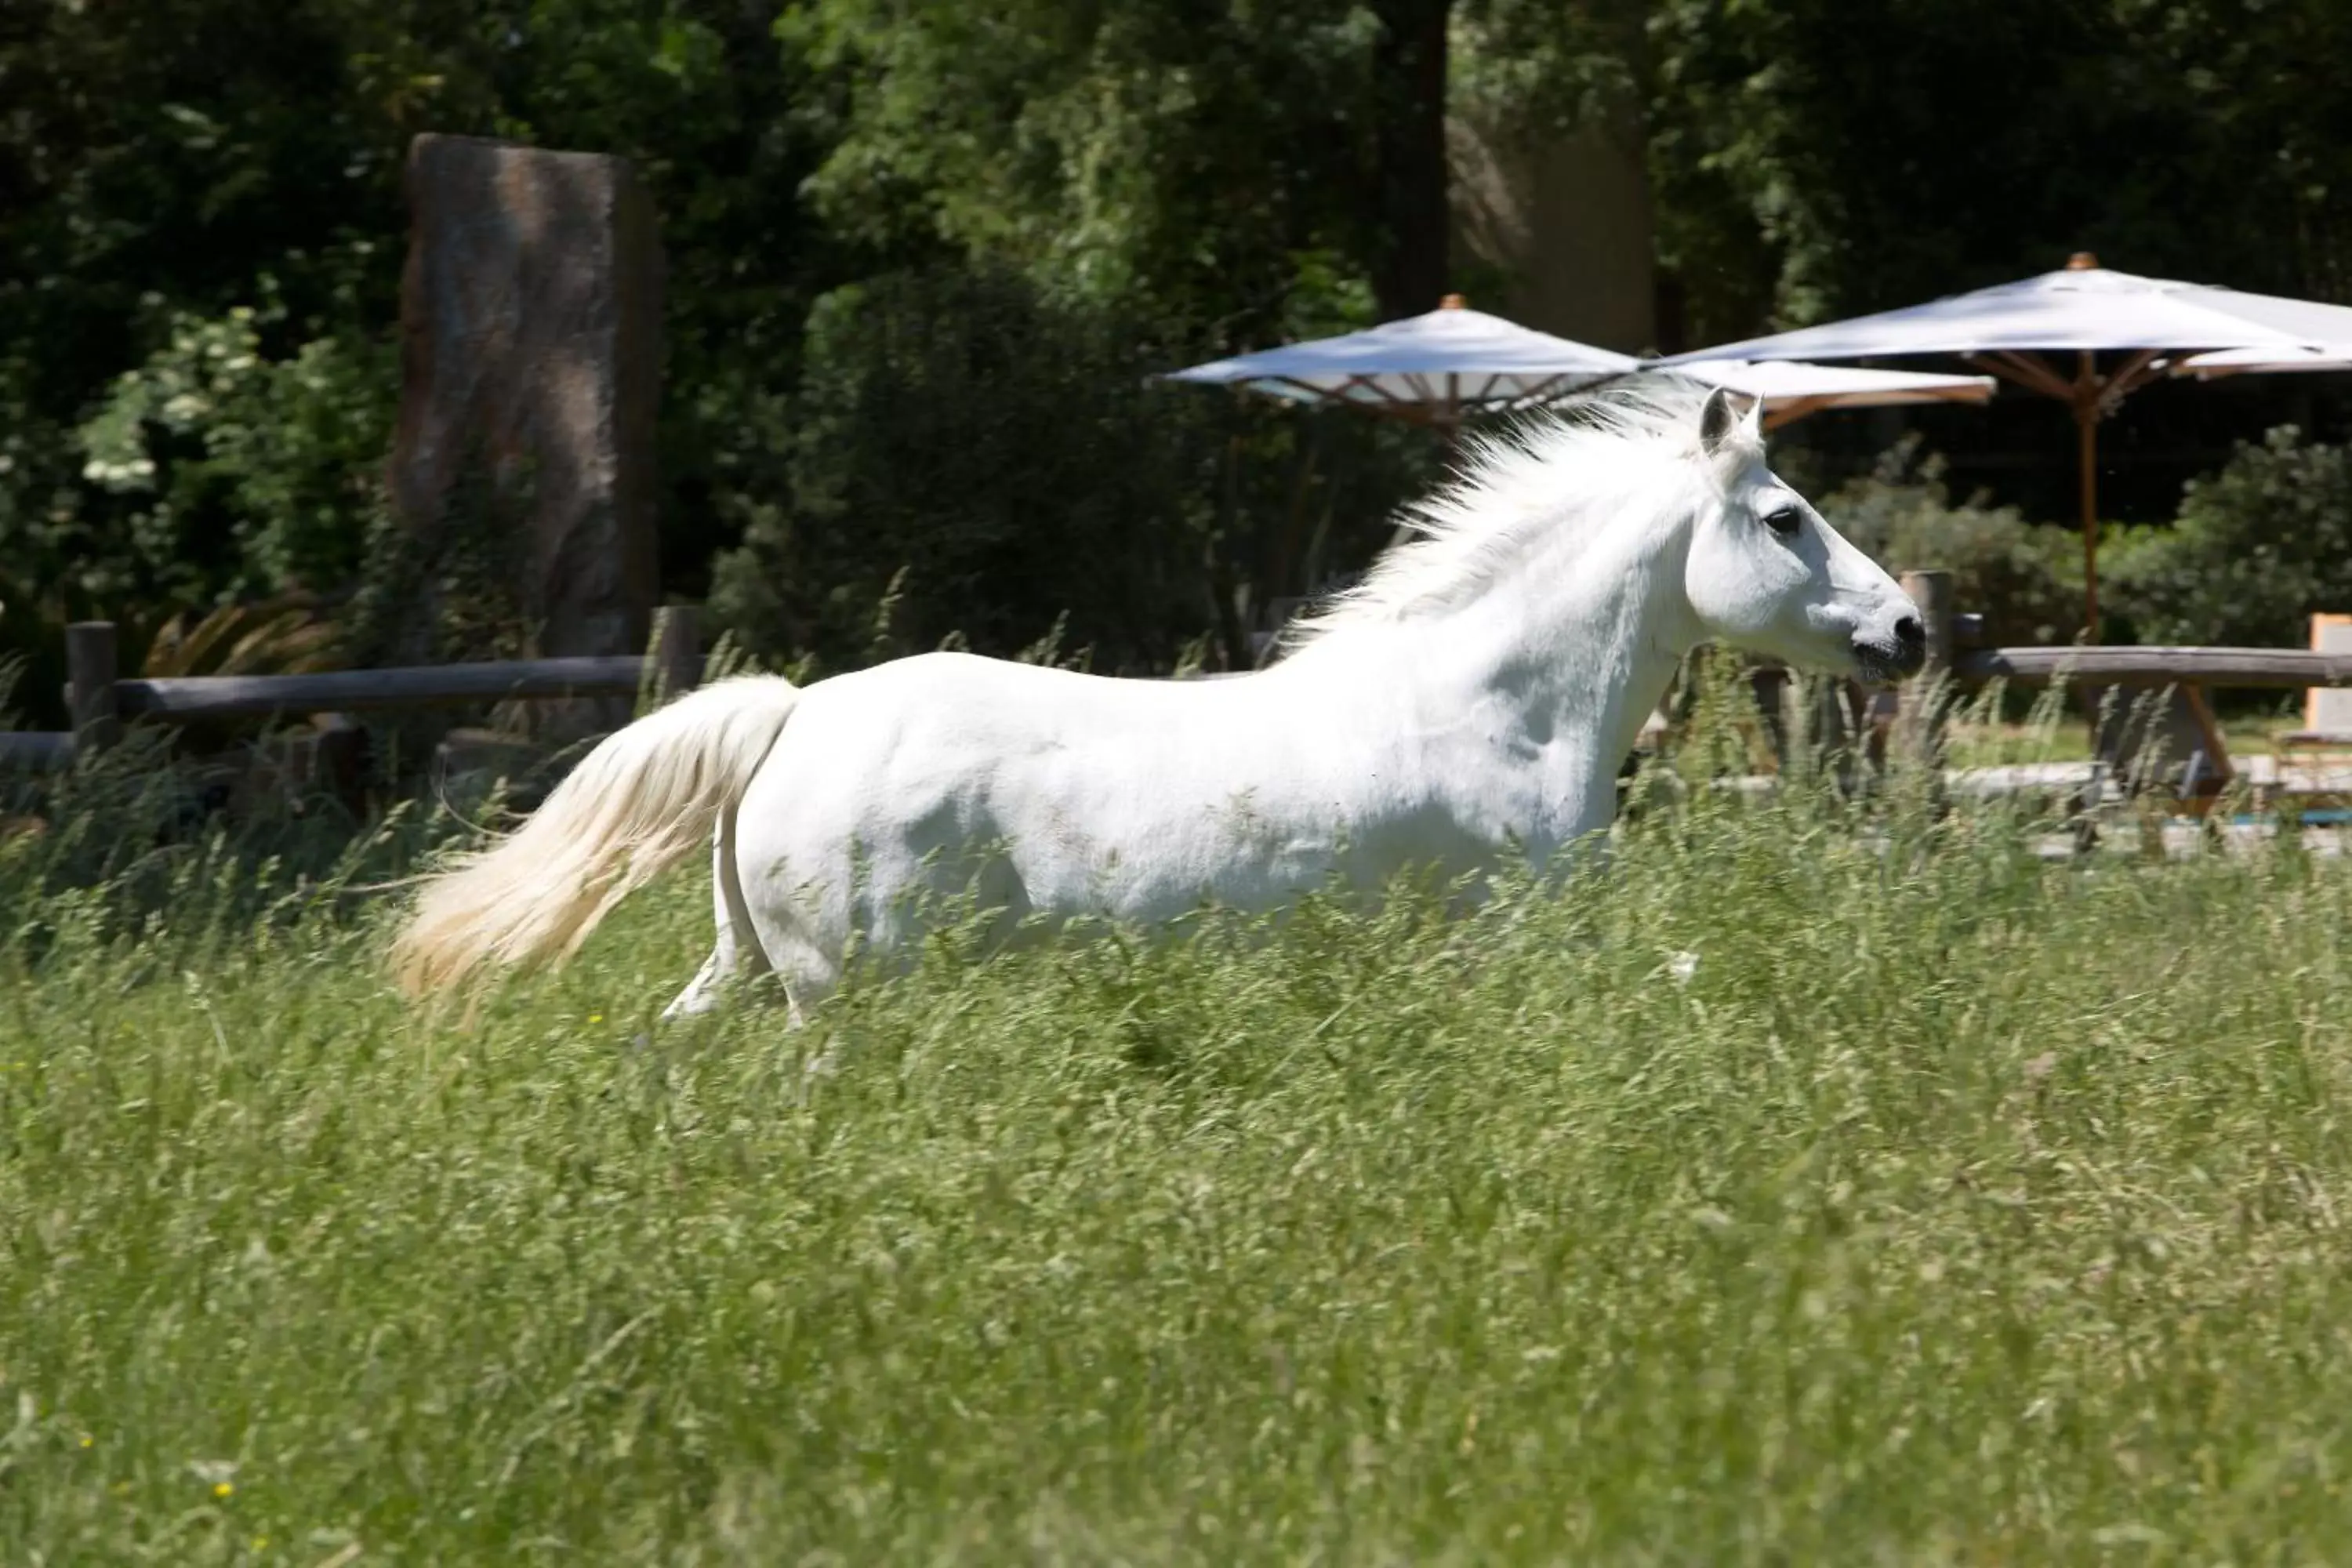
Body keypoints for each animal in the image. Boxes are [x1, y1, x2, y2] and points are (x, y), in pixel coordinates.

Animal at [390, 385, 1929, 1025]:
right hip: (842, 998)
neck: (1493, 713)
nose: (1910, 630)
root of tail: (793, 718)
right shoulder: (1519, 932)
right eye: (1786, 519)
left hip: (749, 972)